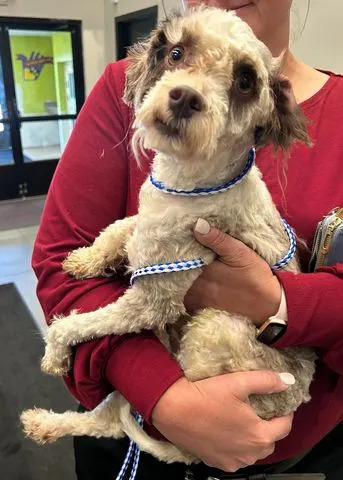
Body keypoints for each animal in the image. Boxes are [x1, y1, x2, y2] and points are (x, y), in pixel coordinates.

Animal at [22, 6, 318, 464]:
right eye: (176, 53)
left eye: (245, 81)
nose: (184, 97)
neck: (187, 184)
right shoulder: (146, 218)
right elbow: (118, 227)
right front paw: (86, 259)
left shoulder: (151, 301)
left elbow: (73, 324)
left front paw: (55, 353)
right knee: (109, 418)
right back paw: (45, 424)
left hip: (215, 328)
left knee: (130, 417)